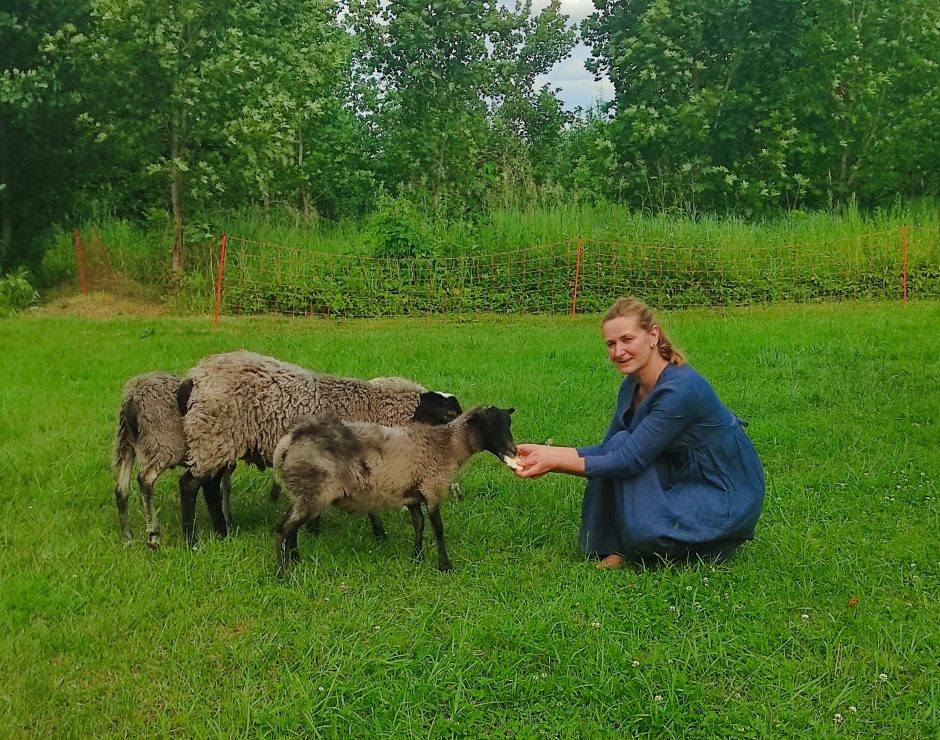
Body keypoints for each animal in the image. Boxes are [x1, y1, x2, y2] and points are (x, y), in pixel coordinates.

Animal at [112, 372, 233, 548]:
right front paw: (227, 520)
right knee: (145, 479)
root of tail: (132, 399)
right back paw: (153, 535)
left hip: (128, 443)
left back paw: (127, 536)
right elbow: (224, 487)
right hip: (164, 444)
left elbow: (224, 486)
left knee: (121, 488)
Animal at [176, 350, 462, 548]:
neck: (376, 408)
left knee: (209, 485)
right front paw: (380, 534)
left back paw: (221, 531)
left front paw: (314, 529)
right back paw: (191, 539)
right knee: (190, 485)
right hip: (214, 434)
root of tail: (196, 376)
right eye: (449, 414)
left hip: (218, 440)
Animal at [272, 404, 516, 580]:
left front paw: (417, 557)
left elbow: (419, 524)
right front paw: (445, 565)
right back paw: (284, 574)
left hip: (301, 493)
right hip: (313, 492)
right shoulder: (432, 489)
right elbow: (438, 528)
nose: (514, 450)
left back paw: (296, 560)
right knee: (284, 529)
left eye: (508, 423)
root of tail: (287, 444)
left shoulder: (412, 494)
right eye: (490, 425)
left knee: (288, 527)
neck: (447, 446)